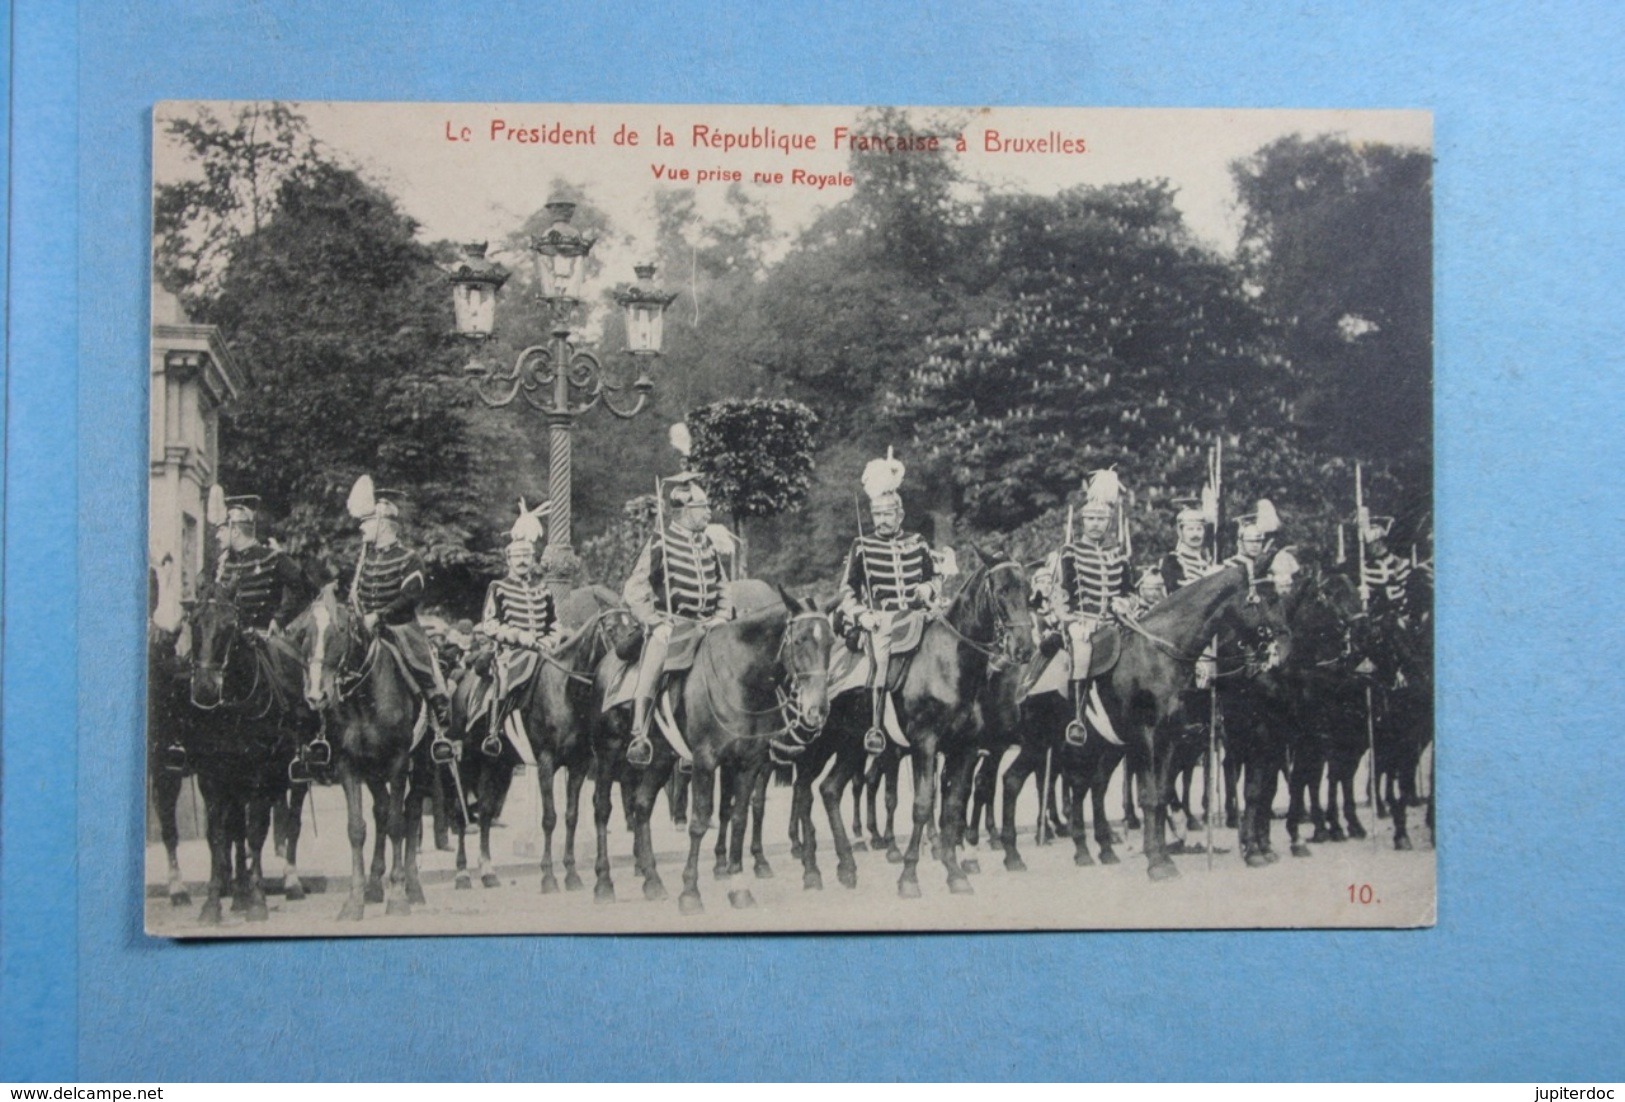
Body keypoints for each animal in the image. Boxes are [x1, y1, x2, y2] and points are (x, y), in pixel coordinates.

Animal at [185, 588, 313, 923]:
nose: (205, 689)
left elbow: (256, 832)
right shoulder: (212, 779)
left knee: (291, 822)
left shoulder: (258, 778)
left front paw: (257, 900)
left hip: (294, 774)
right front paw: (213, 902)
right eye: (194, 623)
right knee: (236, 830)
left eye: (230, 627)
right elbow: (219, 835)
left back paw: (290, 881)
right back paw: (239, 892)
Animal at [789, 555, 1040, 903]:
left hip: (852, 745)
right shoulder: (925, 743)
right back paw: (811, 868)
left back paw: (846, 866)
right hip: (819, 745)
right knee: (803, 793)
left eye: (1028, 591)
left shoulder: (965, 748)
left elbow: (952, 807)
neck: (950, 663)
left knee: (829, 790)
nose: (1024, 649)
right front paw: (909, 876)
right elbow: (921, 806)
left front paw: (955, 873)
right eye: (1001, 590)